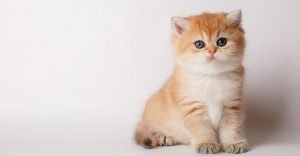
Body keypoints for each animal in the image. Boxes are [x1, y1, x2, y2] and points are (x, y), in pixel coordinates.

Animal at [135, 10, 247, 154]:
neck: (210, 76)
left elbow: (231, 128)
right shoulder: (192, 107)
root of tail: (141, 120)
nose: (212, 51)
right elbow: (201, 128)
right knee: (146, 132)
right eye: (199, 44)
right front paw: (207, 143)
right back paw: (163, 137)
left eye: (222, 42)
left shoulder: (231, 105)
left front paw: (233, 143)